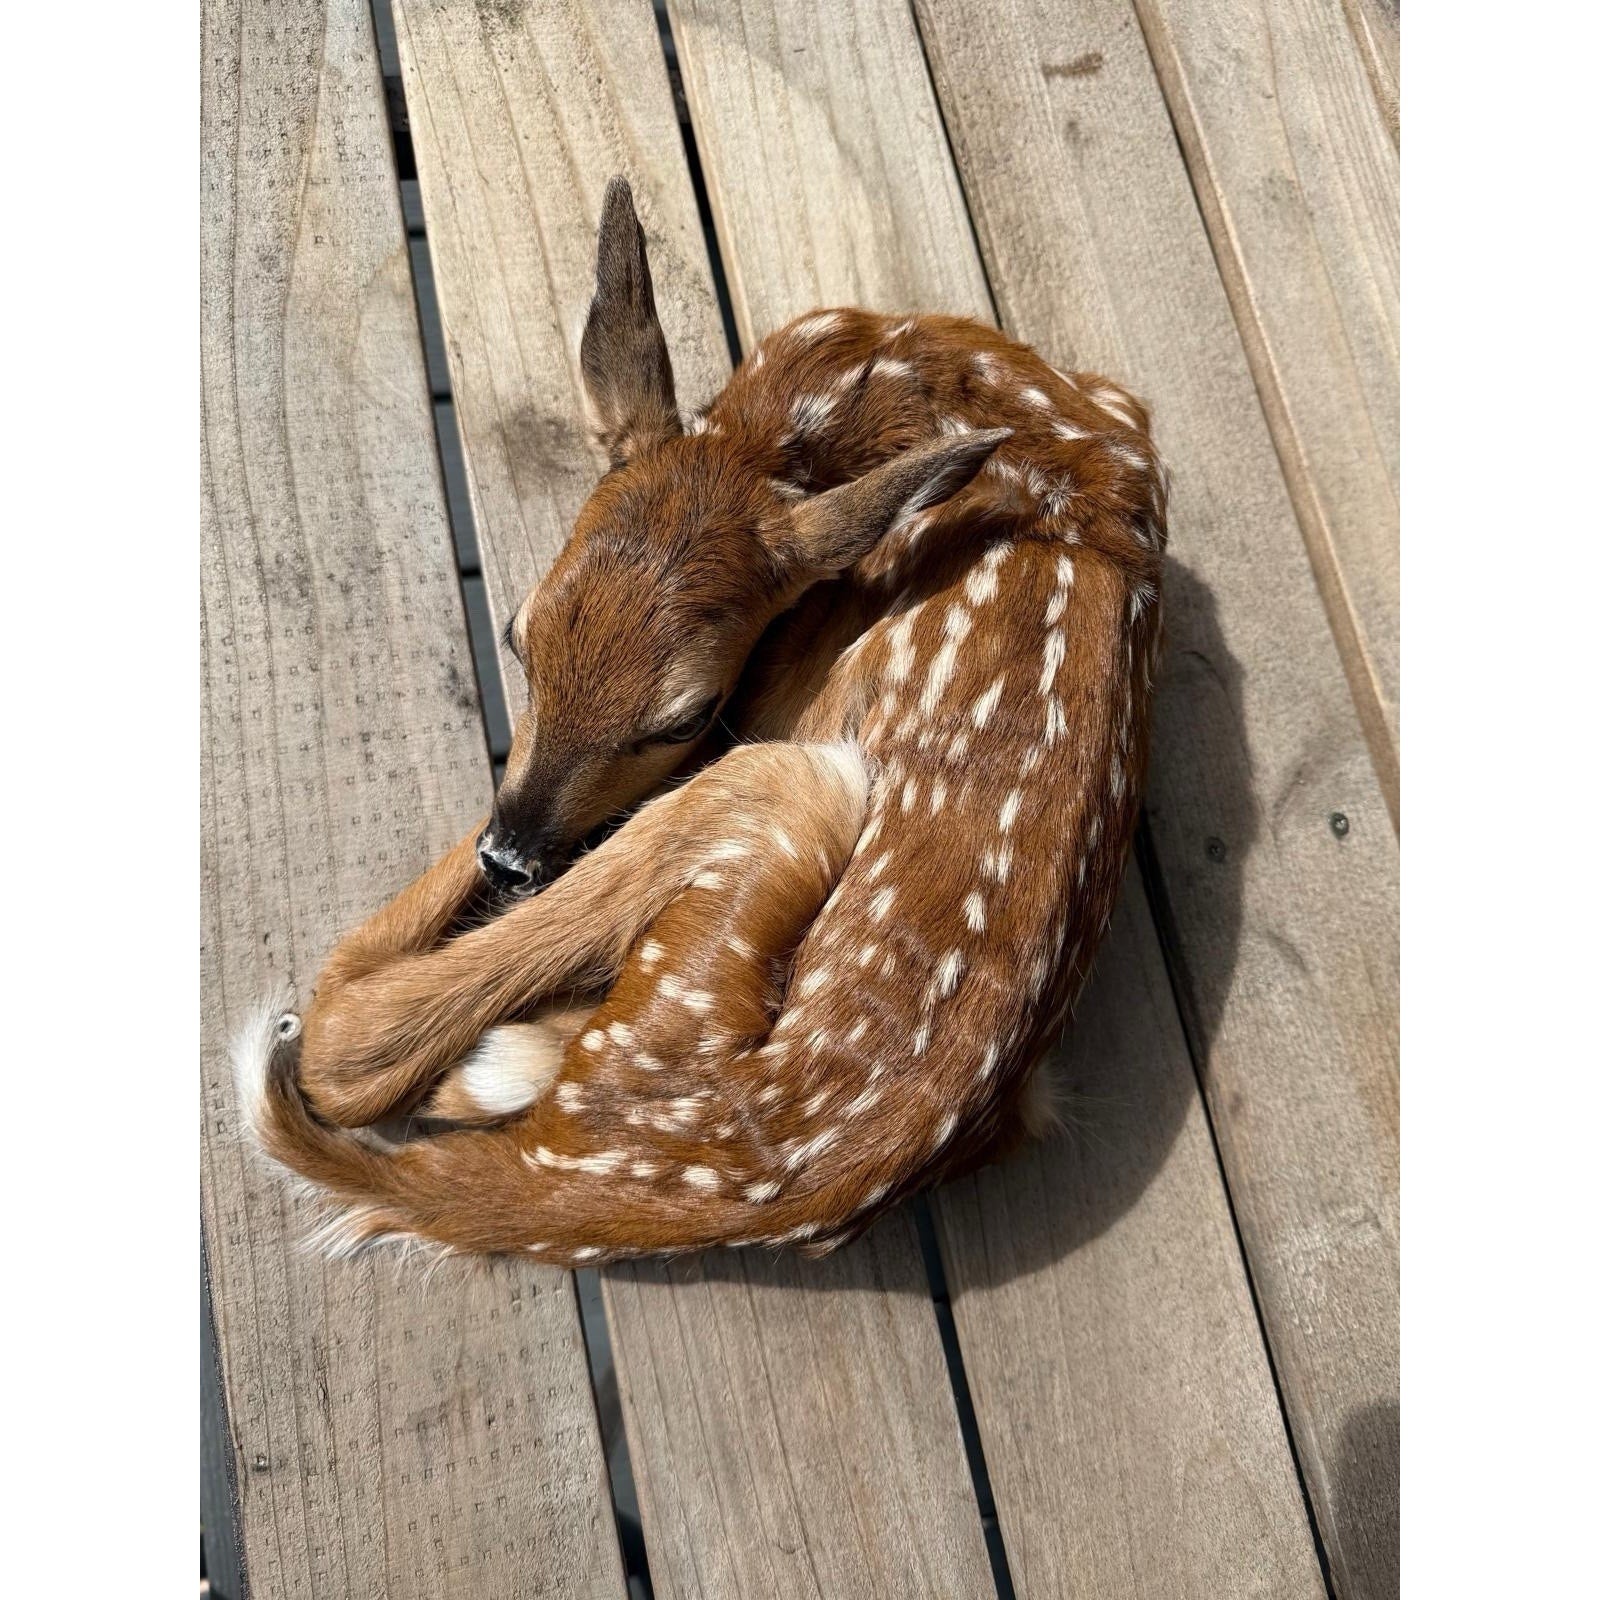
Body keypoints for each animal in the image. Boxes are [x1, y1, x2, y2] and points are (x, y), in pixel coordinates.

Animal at [233, 177, 1168, 1265]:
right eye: (516, 634)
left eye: (687, 714)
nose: (512, 853)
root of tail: (581, 1178)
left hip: (790, 783)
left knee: (350, 1038)